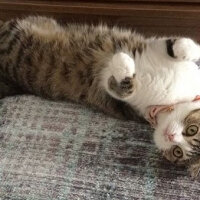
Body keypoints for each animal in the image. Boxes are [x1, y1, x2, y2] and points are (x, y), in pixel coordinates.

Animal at [1, 16, 200, 177]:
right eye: (193, 129)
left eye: (177, 152)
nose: (171, 137)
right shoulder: (154, 48)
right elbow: (174, 45)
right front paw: (189, 48)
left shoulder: (121, 99)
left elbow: (123, 86)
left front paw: (122, 61)